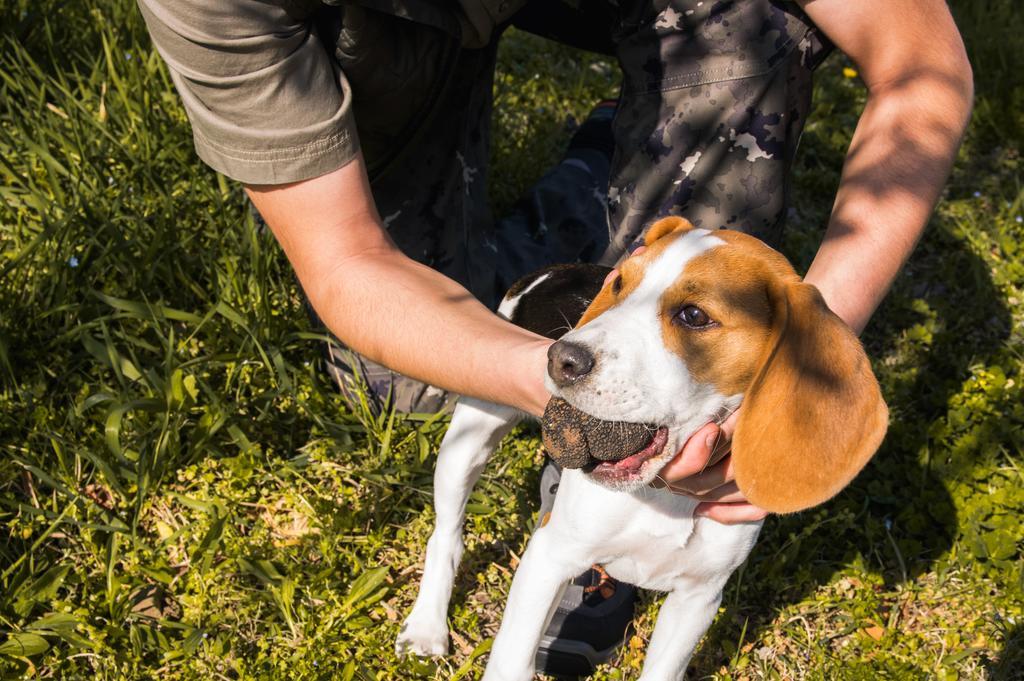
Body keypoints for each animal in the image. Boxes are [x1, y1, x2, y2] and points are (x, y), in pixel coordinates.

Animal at [395, 216, 884, 675]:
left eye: (693, 316)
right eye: (618, 285)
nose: (560, 358)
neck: (665, 497)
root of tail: (550, 272)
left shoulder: (698, 598)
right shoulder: (548, 558)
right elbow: (511, 664)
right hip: (469, 438)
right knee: (446, 535)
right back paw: (426, 628)